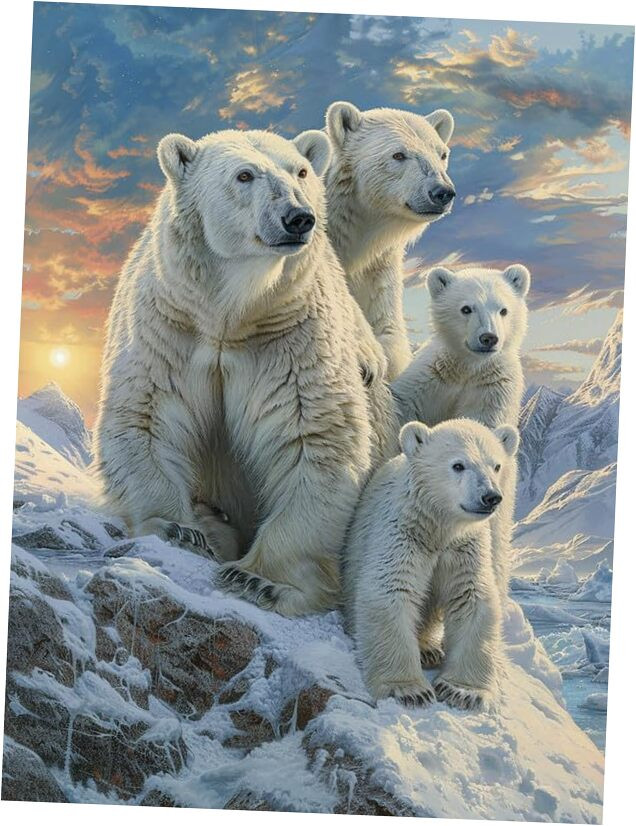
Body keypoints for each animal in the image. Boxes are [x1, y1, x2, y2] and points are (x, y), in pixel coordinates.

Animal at [93, 126, 398, 618]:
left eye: (301, 171)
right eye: (244, 175)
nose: (298, 218)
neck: (231, 310)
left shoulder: (292, 335)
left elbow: (313, 437)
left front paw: (259, 580)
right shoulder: (169, 324)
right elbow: (147, 413)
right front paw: (179, 528)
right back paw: (211, 523)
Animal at [324, 101, 456, 380]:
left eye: (442, 154)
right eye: (398, 155)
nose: (441, 192)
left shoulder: (379, 263)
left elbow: (386, 317)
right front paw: (369, 356)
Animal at [342, 418, 520, 710]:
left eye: (496, 465)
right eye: (458, 465)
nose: (490, 497)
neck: (439, 528)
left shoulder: (465, 547)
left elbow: (472, 598)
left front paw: (463, 691)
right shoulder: (403, 533)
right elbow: (390, 590)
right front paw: (409, 690)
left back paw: (428, 649)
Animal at [390, 264, 530, 604]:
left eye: (503, 309)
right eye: (467, 308)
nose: (489, 337)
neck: (470, 367)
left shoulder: (494, 389)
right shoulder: (432, 378)